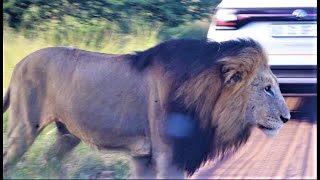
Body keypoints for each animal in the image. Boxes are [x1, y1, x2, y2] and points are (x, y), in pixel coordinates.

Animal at [2, 38, 292, 179]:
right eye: (267, 88)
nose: (287, 117)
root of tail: (19, 64)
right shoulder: (168, 157)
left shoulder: (144, 157)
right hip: (24, 127)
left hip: (67, 135)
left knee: (49, 161)